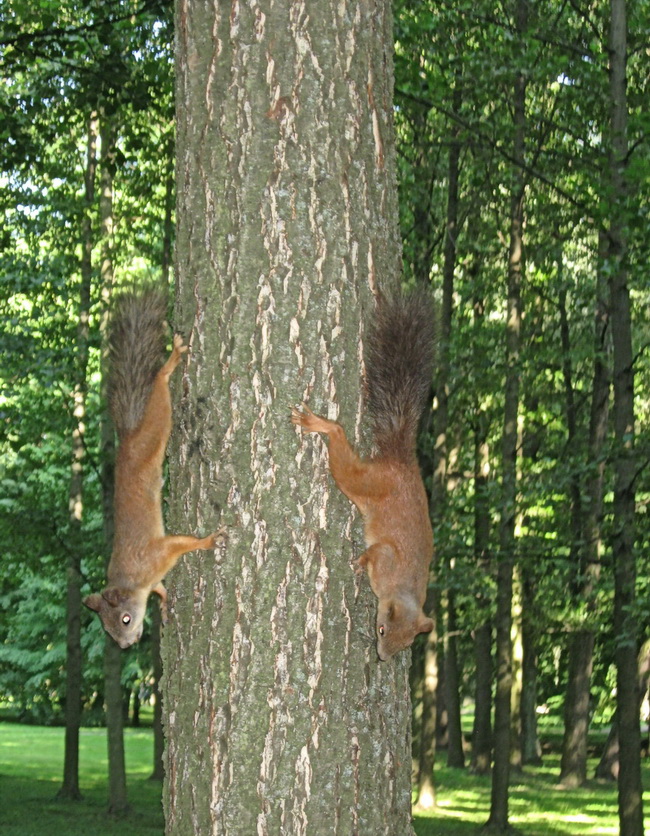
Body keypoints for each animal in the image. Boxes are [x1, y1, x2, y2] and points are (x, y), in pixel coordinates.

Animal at [83, 290, 225, 648]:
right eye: (107, 628)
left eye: (125, 618)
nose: (126, 645)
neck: (133, 581)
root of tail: (128, 440)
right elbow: (160, 588)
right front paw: (163, 601)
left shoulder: (158, 553)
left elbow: (183, 543)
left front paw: (208, 541)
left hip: (156, 424)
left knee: (159, 383)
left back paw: (170, 362)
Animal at [292, 290, 436, 664]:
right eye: (382, 629)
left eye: (408, 644)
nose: (383, 658)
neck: (404, 588)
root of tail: (400, 463)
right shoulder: (386, 560)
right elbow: (377, 553)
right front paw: (359, 561)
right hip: (364, 482)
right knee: (341, 445)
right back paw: (321, 424)